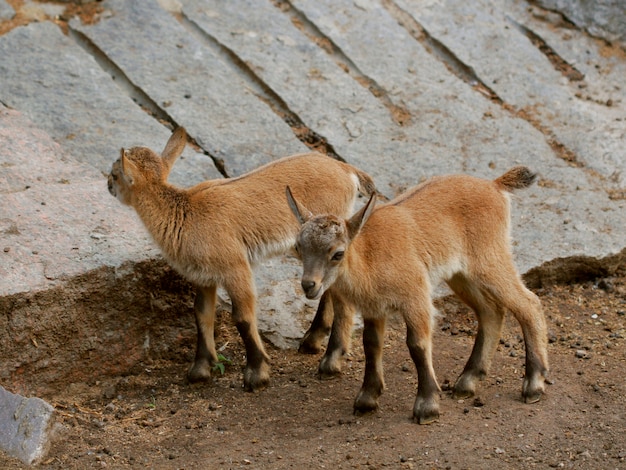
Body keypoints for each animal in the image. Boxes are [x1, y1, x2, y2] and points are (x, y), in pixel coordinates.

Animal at [106, 126, 376, 392]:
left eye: (115, 173)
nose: (108, 184)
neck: (185, 215)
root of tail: (346, 170)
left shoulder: (235, 267)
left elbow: (243, 317)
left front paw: (257, 374)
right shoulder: (204, 277)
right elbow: (202, 314)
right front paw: (199, 371)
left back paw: (328, 359)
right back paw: (312, 341)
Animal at [286, 167, 544, 424]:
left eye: (338, 253)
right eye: (299, 247)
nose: (309, 285)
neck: (369, 256)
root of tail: (495, 185)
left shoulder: (416, 296)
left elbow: (417, 345)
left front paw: (427, 406)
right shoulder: (374, 308)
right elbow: (371, 344)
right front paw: (367, 400)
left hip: (490, 260)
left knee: (529, 304)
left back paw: (533, 385)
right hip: (461, 275)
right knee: (491, 312)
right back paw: (467, 382)